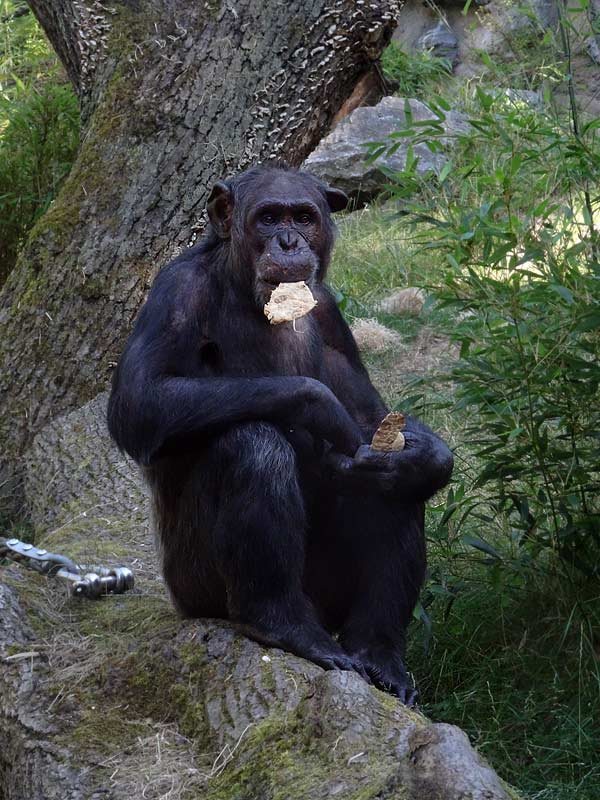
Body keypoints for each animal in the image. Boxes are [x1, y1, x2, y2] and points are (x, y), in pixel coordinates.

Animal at [108, 166, 452, 704]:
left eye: (304, 217)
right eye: (269, 218)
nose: (289, 241)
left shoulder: (330, 311)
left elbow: (371, 414)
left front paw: (430, 456)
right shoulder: (174, 291)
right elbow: (138, 401)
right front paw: (320, 406)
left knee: (393, 488)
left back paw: (378, 654)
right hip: (194, 587)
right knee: (252, 446)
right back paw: (283, 624)